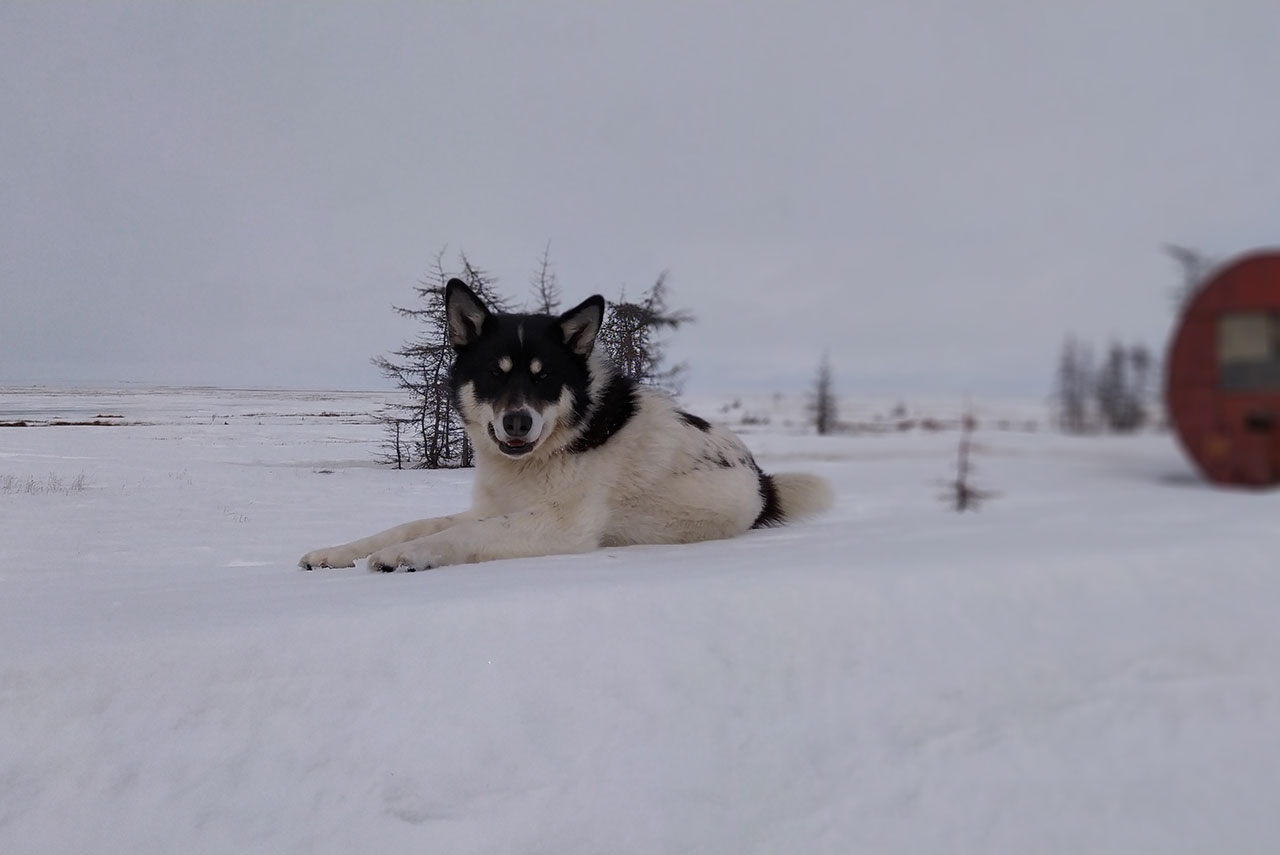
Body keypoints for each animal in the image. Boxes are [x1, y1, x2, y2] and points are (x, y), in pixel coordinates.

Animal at [302, 280, 839, 573]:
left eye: (545, 378)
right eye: (494, 373)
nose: (517, 421)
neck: (558, 443)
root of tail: (764, 481)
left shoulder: (561, 525)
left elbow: (461, 535)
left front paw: (405, 555)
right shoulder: (494, 506)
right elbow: (412, 523)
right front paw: (337, 552)